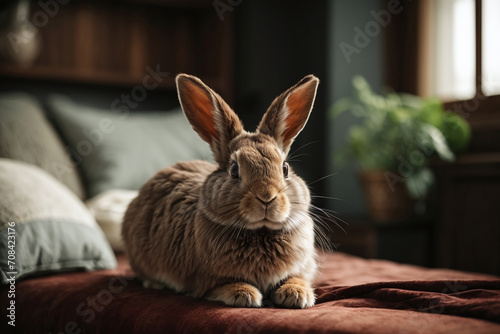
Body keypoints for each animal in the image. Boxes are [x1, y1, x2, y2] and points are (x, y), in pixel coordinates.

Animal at [121, 73, 318, 308]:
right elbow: (221, 285)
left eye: (285, 168)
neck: (260, 231)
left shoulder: (302, 267)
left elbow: (298, 277)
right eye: (234, 169)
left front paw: (297, 294)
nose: (267, 197)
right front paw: (245, 294)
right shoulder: (204, 280)